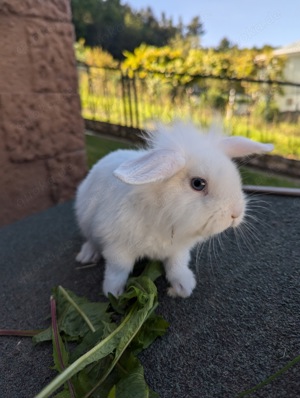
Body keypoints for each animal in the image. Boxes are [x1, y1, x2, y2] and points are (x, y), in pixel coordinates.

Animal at [74, 123, 272, 296]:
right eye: (198, 184)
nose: (235, 213)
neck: (163, 215)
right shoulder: (117, 248)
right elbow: (118, 270)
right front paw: (113, 292)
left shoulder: (178, 249)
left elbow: (177, 265)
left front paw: (184, 286)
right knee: (91, 240)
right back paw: (86, 255)